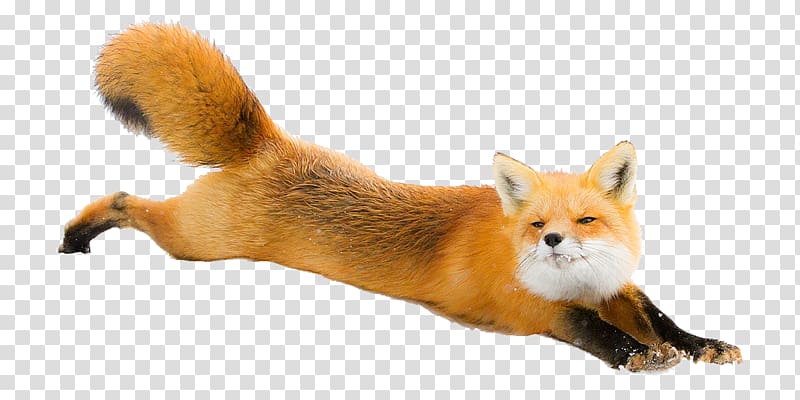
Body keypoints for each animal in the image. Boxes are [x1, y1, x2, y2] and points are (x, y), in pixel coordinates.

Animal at [59, 23, 741, 372]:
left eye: (587, 219)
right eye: (537, 224)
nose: (552, 240)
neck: (574, 281)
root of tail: (267, 144)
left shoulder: (614, 288)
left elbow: (661, 317)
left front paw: (698, 345)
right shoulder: (533, 308)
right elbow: (590, 329)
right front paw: (637, 355)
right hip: (196, 242)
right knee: (124, 198)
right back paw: (77, 233)